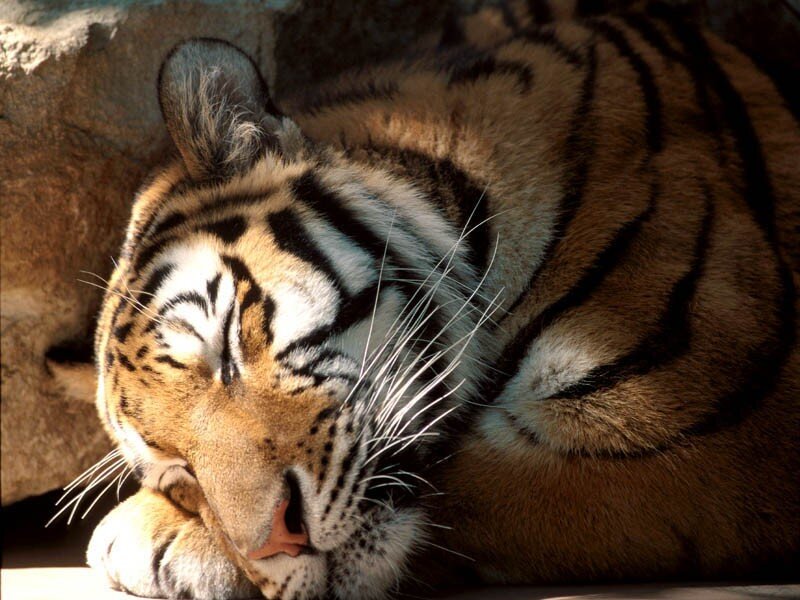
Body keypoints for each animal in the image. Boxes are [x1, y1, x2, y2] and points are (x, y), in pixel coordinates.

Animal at [84, 1, 800, 598]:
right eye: (176, 469)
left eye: (229, 349)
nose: (279, 539)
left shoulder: (692, 426)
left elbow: (476, 483)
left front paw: (142, 532)